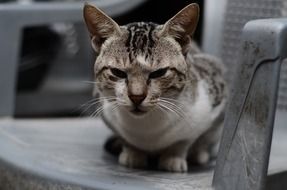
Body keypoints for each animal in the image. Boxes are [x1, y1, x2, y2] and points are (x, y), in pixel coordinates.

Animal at [82, 2, 227, 172]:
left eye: (159, 72)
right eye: (117, 72)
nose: (136, 96)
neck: (148, 131)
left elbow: (185, 140)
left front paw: (174, 157)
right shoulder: (106, 111)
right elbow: (125, 138)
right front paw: (132, 153)